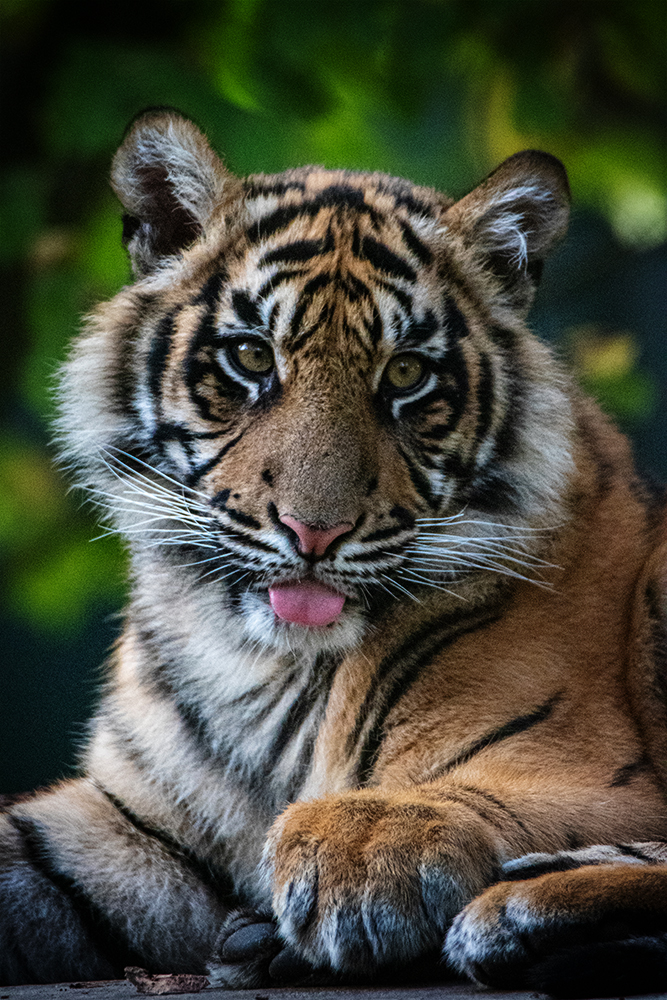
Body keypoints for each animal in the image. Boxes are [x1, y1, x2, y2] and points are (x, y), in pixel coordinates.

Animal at [1, 105, 667, 996]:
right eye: (251, 356)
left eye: (406, 374)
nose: (313, 530)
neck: (260, 667)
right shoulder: (134, 824)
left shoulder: (585, 772)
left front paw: (359, 848)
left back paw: (515, 911)